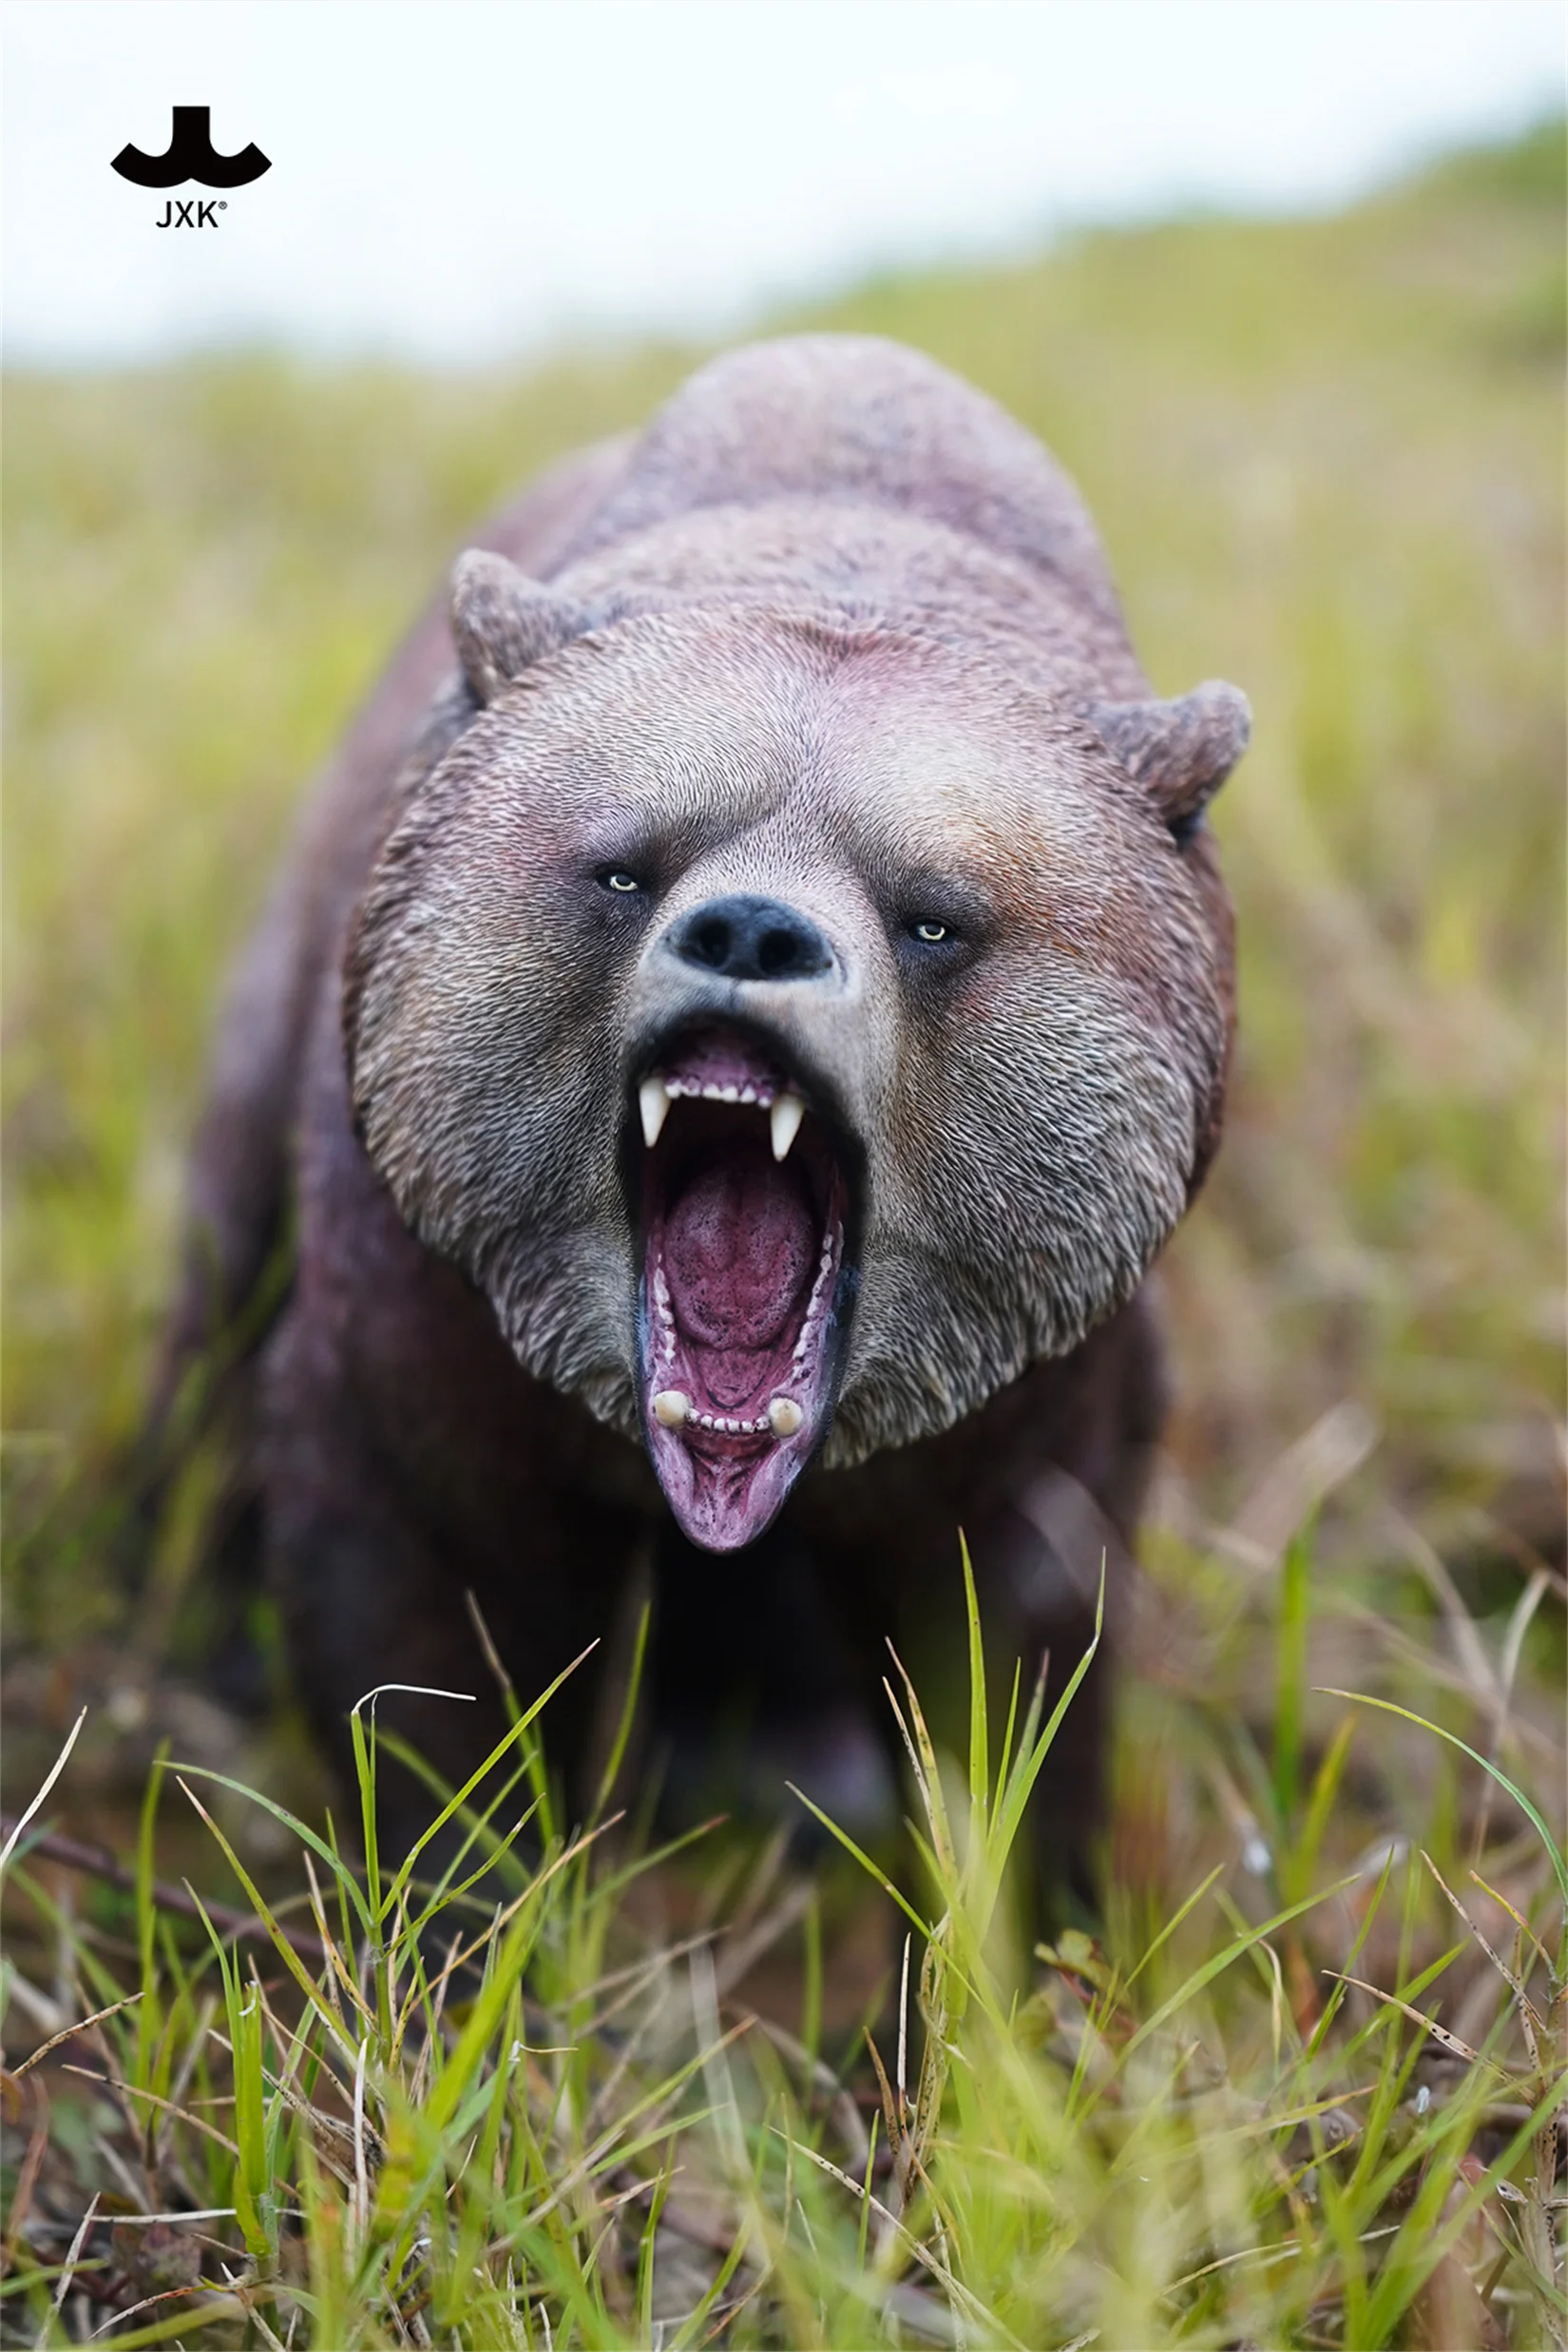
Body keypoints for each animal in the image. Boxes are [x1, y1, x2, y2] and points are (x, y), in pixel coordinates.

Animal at [157, 334, 1246, 1910]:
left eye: (934, 914)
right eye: (624, 866)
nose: (750, 929)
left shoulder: (1044, 1399)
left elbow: (1009, 1676)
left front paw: (1015, 1932)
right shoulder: (423, 1317)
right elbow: (422, 1639)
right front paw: (461, 1914)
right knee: (218, 1281)